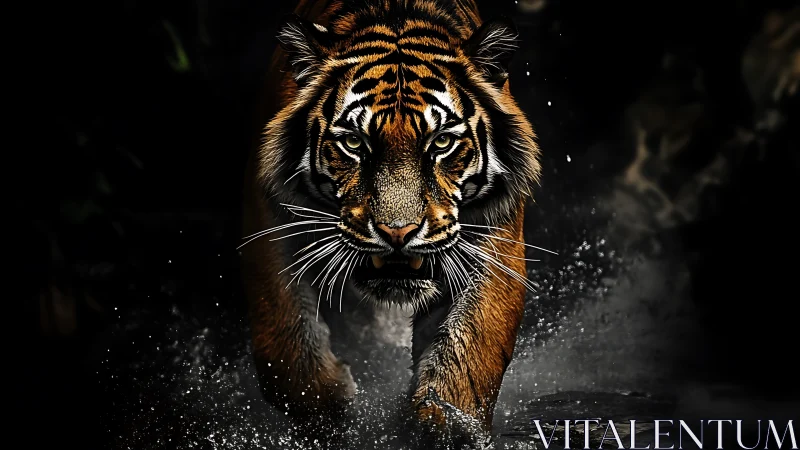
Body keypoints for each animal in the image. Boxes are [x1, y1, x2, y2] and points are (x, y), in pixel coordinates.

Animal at [240, 0, 542, 446]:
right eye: (353, 143)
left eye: (441, 142)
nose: (397, 232)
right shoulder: (271, 229)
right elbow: (287, 357)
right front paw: (338, 416)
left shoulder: (494, 243)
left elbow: (469, 356)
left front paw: (443, 427)